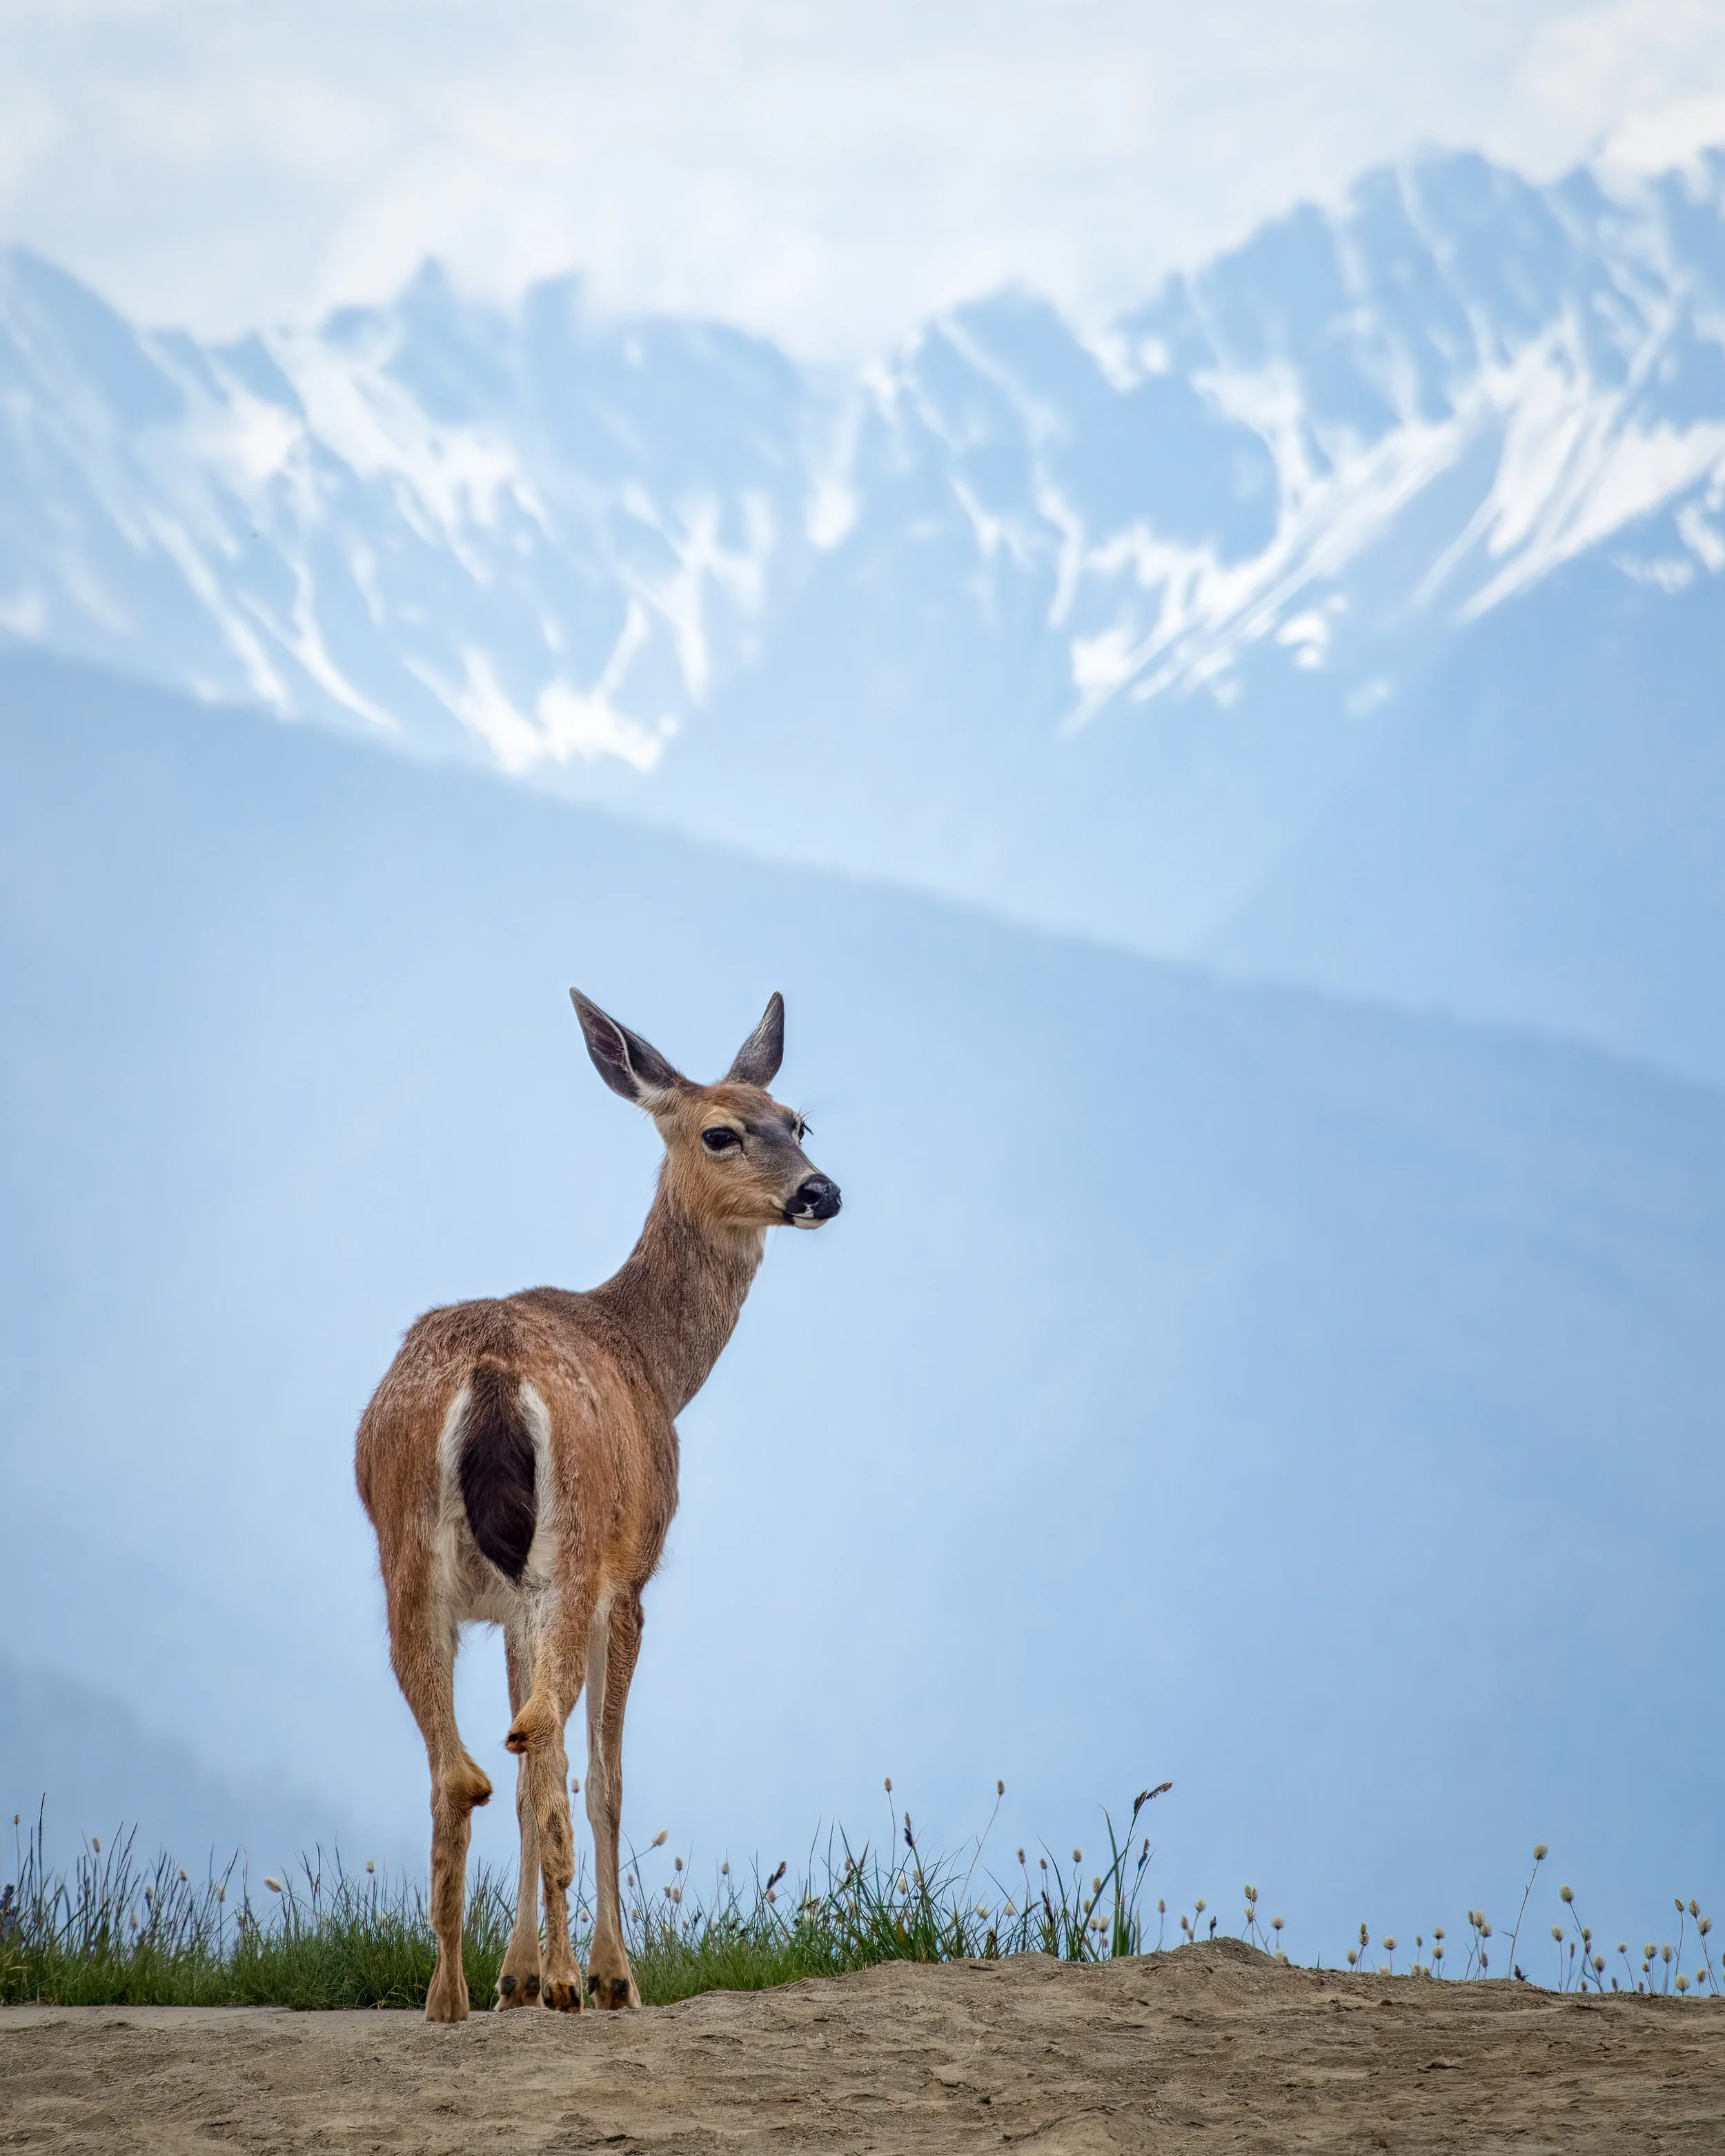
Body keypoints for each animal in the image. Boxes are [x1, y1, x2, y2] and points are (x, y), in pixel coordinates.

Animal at [354, 989, 840, 2021]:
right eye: (721, 1131)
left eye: (798, 1121)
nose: (823, 1191)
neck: (654, 1361)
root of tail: (492, 1370)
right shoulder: (634, 1576)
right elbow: (608, 1775)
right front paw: (607, 1976)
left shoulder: (506, 1607)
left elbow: (525, 1761)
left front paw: (516, 1977)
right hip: (575, 1547)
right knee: (547, 1747)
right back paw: (579, 1982)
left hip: (407, 1556)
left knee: (466, 1763)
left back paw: (450, 1996)